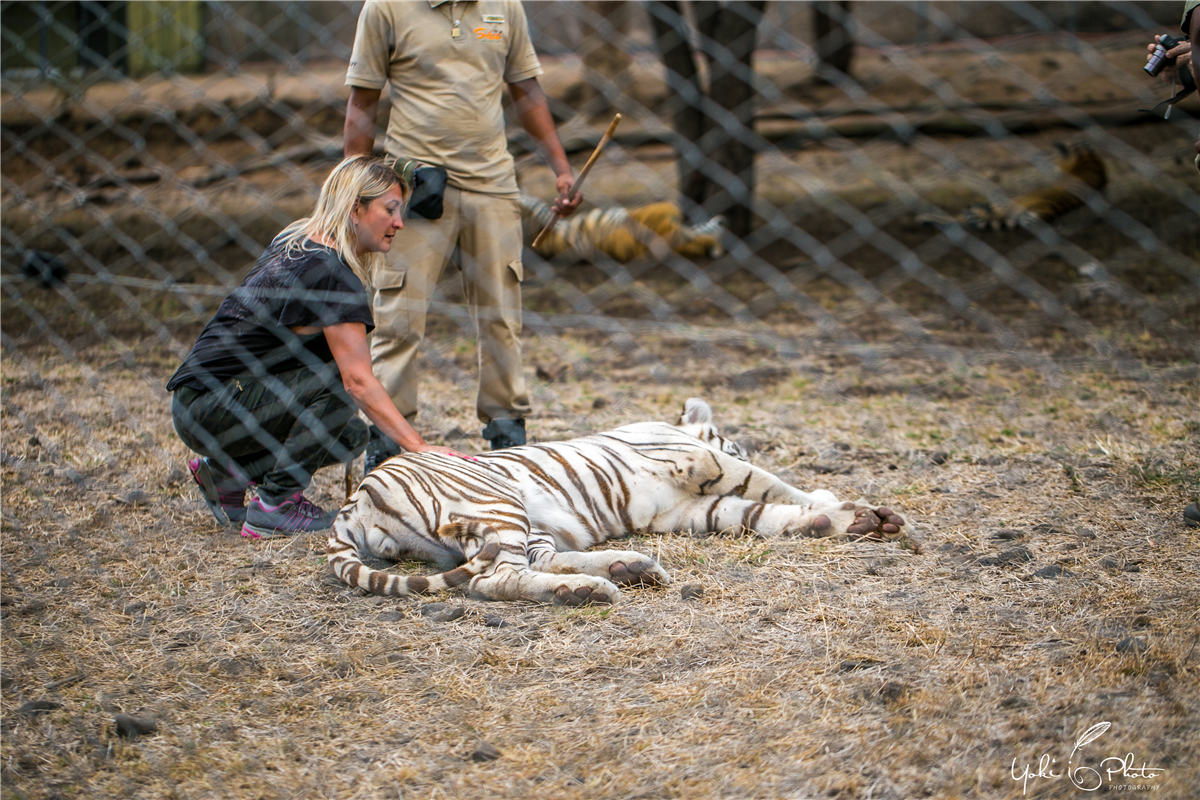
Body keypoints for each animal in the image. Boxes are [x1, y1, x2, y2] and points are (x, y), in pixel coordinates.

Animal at [324, 398, 902, 604]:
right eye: (735, 441)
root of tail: (354, 502)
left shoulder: (691, 509)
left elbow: (762, 512)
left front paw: (847, 520)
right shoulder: (700, 460)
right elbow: (770, 484)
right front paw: (828, 499)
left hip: (525, 523)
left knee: (539, 562)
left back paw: (627, 570)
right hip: (496, 502)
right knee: (494, 582)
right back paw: (589, 590)